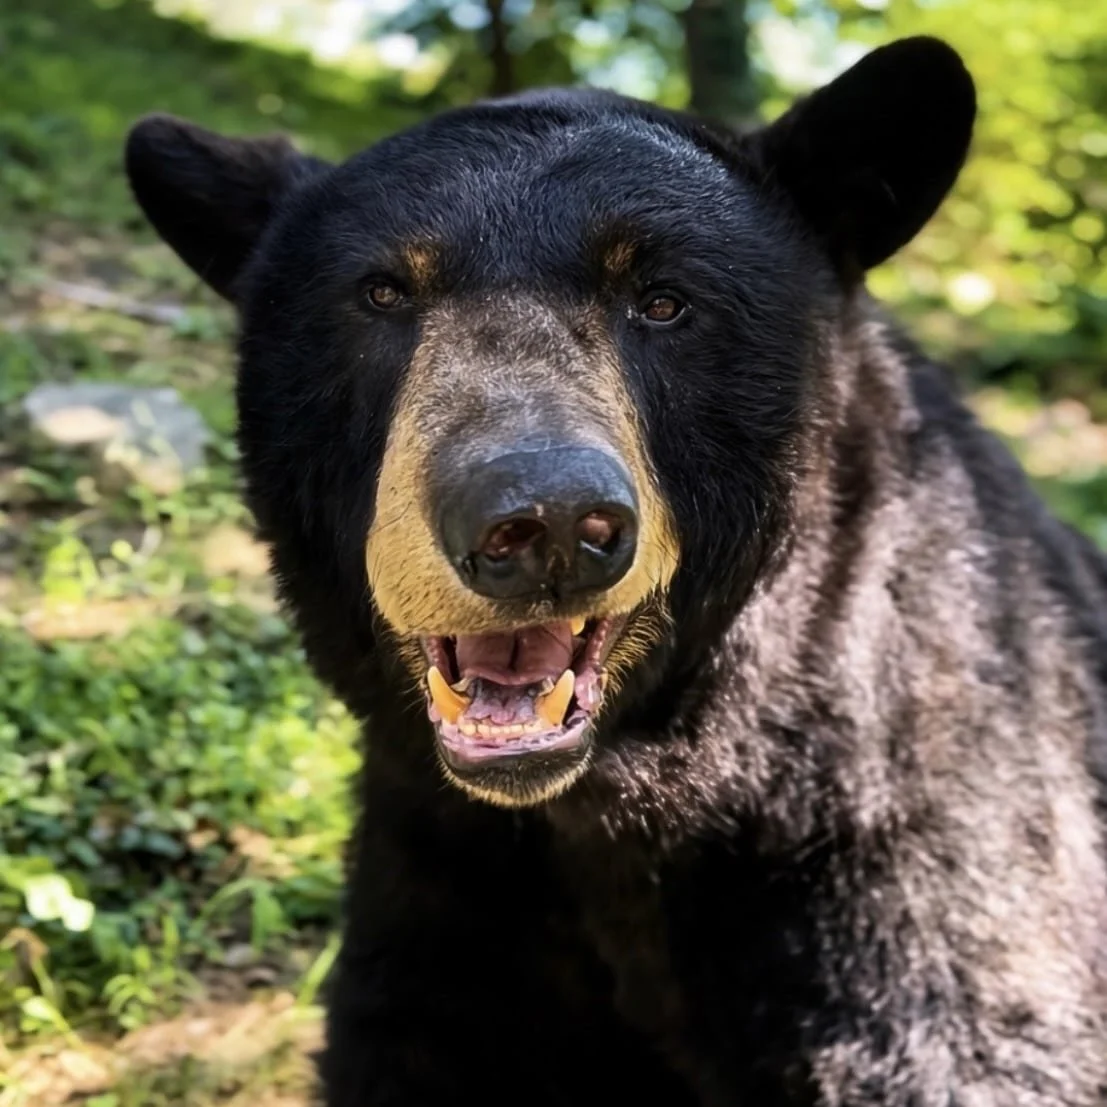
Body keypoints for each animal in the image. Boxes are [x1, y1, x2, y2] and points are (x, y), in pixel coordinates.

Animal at [124, 35, 1107, 1107]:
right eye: (382, 291)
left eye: (665, 300)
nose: (544, 521)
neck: (616, 813)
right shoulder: (438, 885)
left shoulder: (918, 836)